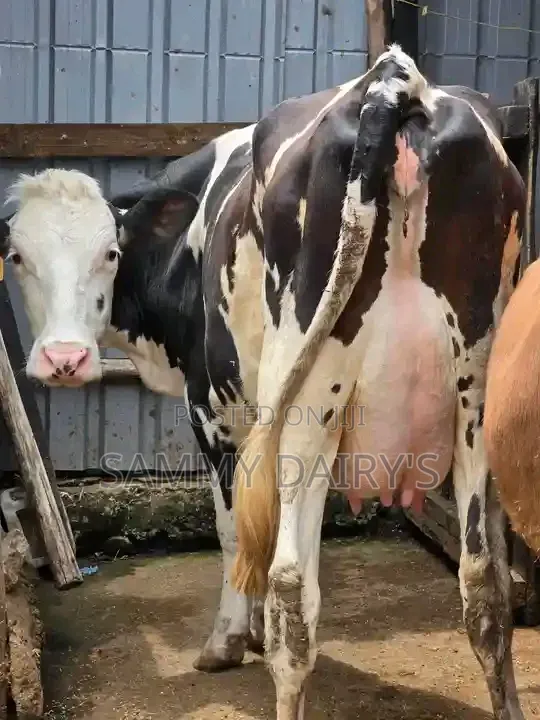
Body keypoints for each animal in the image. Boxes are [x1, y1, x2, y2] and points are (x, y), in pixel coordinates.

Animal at [0, 45, 526, 719]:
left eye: (109, 253)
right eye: (17, 256)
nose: (63, 358)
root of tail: (394, 82)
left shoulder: (216, 412)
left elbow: (234, 533)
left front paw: (227, 639)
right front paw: (246, 631)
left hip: (308, 404)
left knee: (293, 588)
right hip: (475, 400)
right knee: (485, 582)